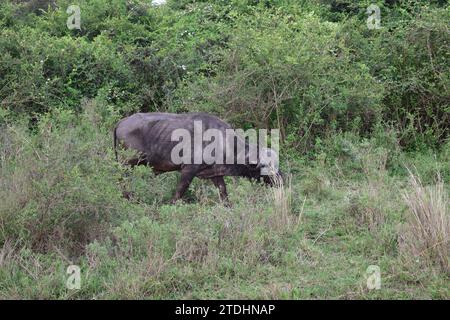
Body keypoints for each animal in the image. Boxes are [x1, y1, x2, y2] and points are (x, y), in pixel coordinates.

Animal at [113, 111, 282, 204]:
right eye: (264, 166)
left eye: (275, 164)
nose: (279, 180)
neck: (221, 141)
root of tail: (121, 122)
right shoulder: (188, 171)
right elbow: (179, 192)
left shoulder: (215, 174)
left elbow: (223, 193)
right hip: (127, 164)